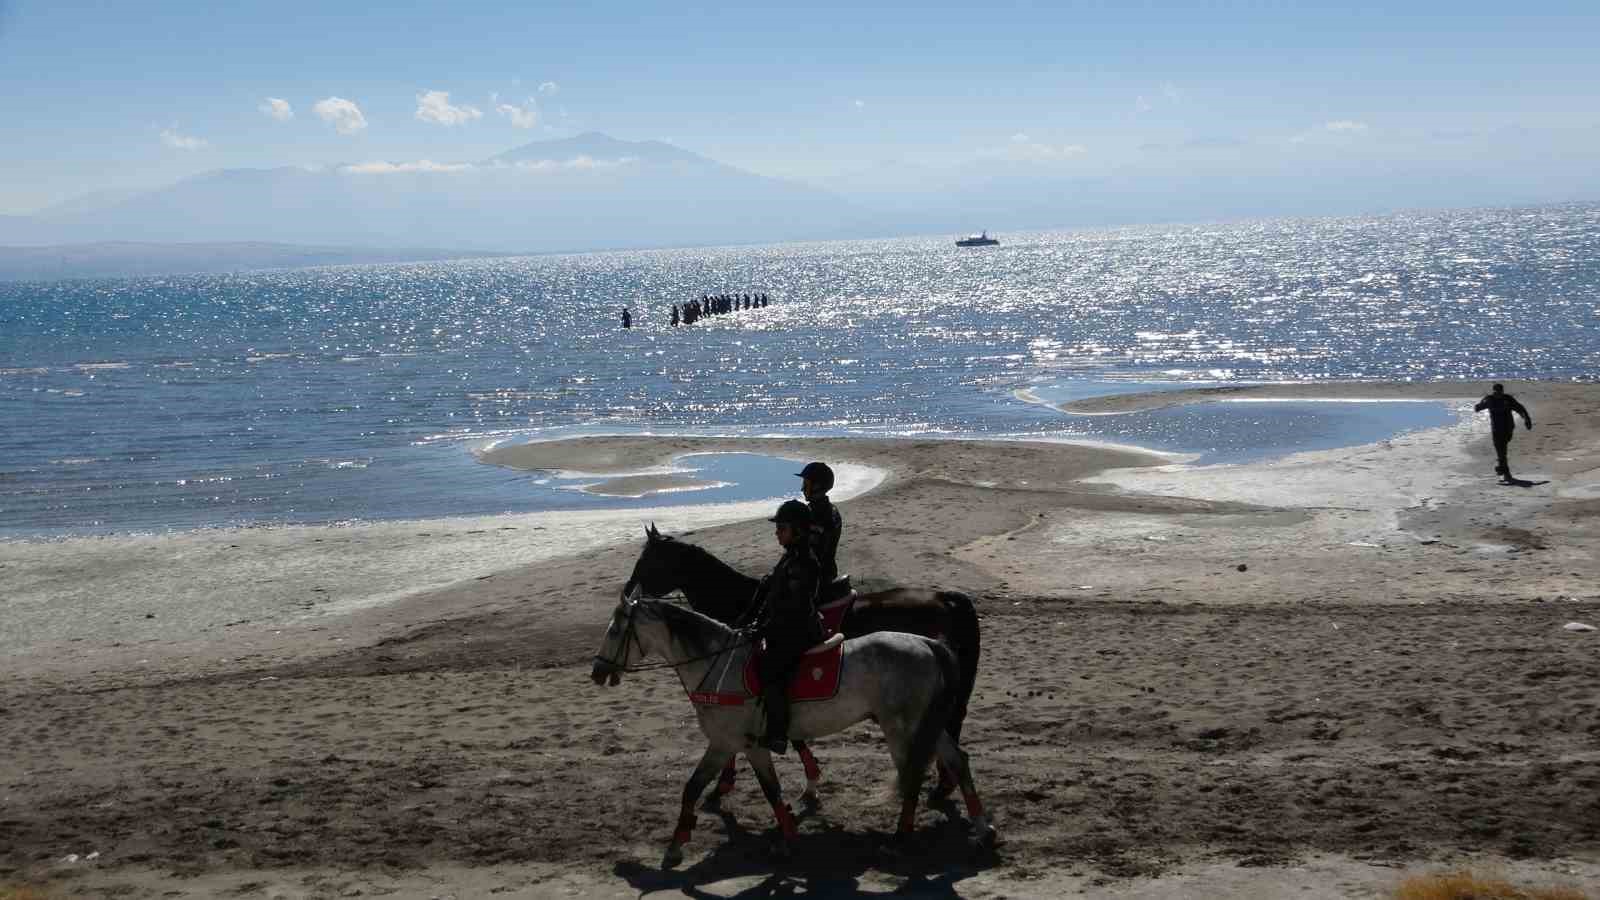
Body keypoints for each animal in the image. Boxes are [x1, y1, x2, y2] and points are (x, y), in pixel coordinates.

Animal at [592, 586, 985, 864]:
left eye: (614, 631)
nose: (597, 672)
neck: (718, 667)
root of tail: (928, 644)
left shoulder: (737, 743)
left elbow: (767, 790)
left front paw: (786, 838)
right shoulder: (728, 744)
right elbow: (696, 788)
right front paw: (678, 843)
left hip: (901, 728)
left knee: (912, 777)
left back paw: (901, 840)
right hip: (928, 724)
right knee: (957, 759)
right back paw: (982, 825)